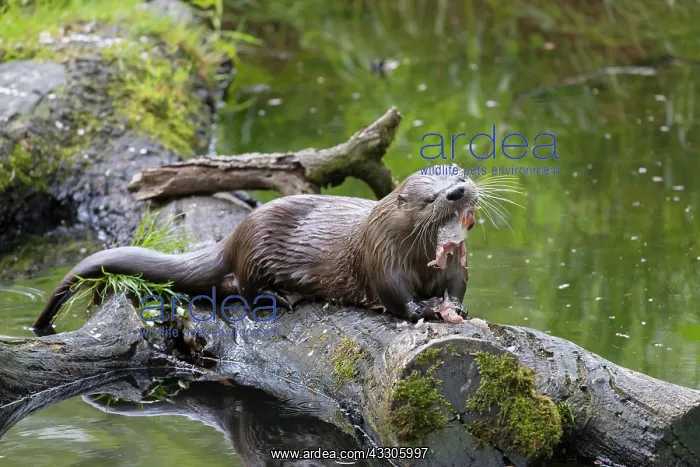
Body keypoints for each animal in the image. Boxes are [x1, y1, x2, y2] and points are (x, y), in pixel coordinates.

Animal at [32, 166, 478, 333]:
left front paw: (456, 307)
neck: (417, 260)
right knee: (243, 289)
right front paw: (425, 309)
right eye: (431, 197)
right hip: (256, 253)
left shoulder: (453, 269)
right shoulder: (381, 256)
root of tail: (235, 236)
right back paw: (280, 297)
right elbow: (396, 297)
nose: (457, 192)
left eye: (460, 175)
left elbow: (458, 286)